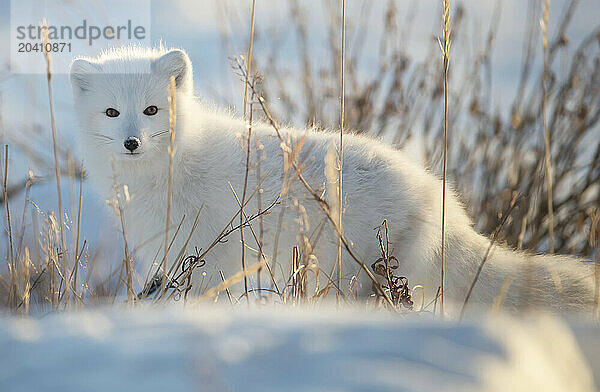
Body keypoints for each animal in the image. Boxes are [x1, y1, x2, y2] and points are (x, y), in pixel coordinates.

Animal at [70, 46, 596, 316]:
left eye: (151, 110)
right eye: (112, 113)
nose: (131, 142)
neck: (168, 169)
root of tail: (440, 201)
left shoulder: (210, 249)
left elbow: (200, 290)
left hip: (348, 268)